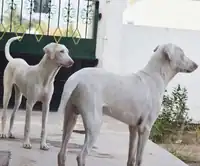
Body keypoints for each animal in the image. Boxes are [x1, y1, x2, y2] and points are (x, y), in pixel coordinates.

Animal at [57, 43, 198, 166]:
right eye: (183, 54)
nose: (196, 65)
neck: (154, 76)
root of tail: (76, 77)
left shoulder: (134, 127)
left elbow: (131, 157)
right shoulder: (145, 128)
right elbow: (139, 159)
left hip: (70, 118)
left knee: (61, 154)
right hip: (94, 123)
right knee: (81, 156)